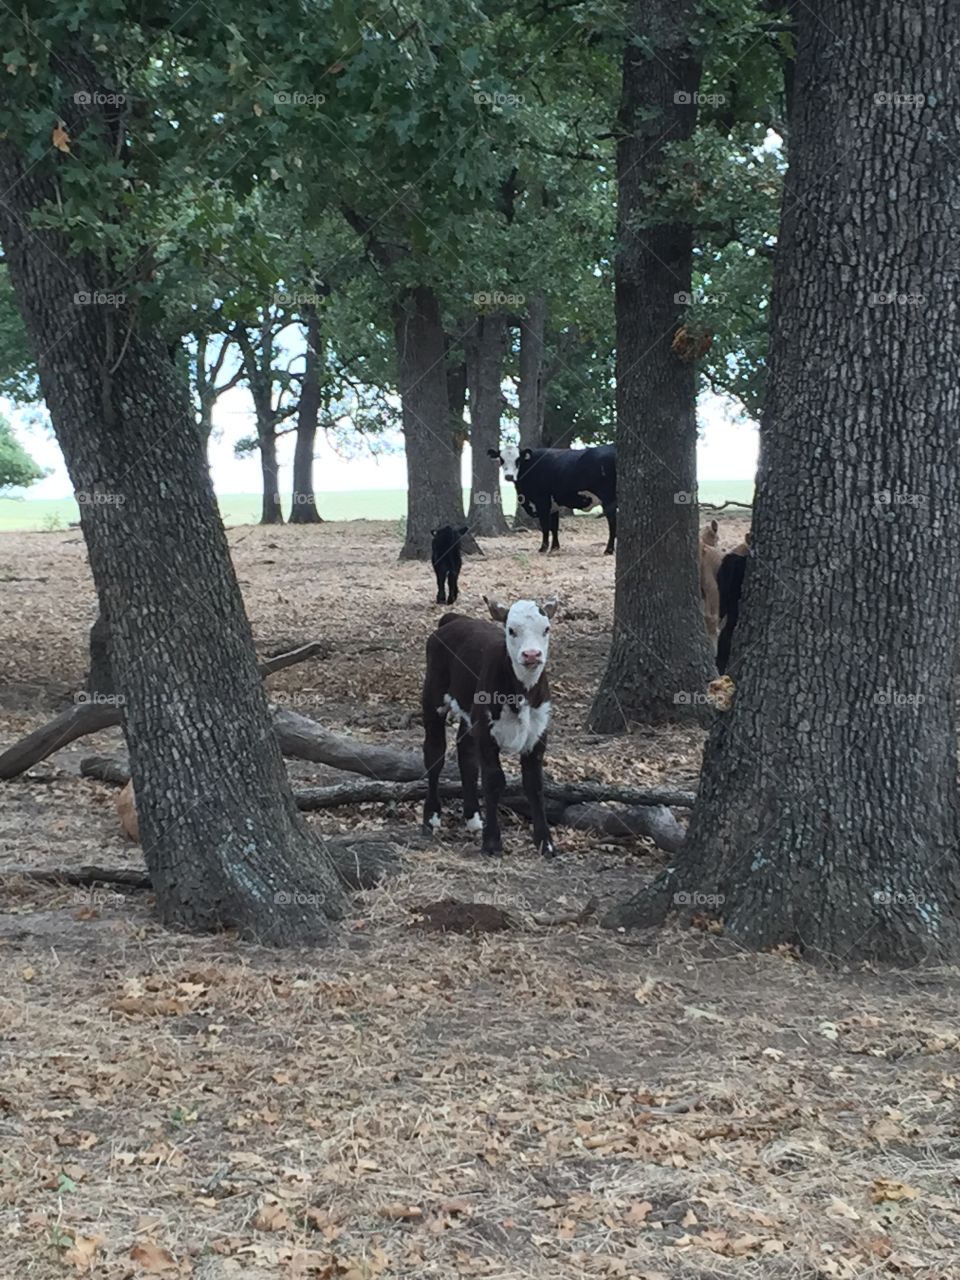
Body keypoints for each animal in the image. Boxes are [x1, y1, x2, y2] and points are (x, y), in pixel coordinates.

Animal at [421, 594, 559, 857]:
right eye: (511, 630)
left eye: (546, 629)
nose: (532, 655)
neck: (522, 694)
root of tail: (455, 619)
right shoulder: (487, 732)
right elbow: (494, 780)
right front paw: (492, 842)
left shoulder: (538, 734)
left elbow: (535, 784)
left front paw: (545, 843)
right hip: (433, 699)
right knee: (434, 754)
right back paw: (431, 817)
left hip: (468, 715)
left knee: (466, 754)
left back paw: (473, 818)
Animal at [487, 444, 617, 554]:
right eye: (501, 459)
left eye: (518, 459)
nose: (509, 476)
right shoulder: (554, 505)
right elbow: (554, 527)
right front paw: (555, 547)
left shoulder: (542, 502)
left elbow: (545, 526)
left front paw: (543, 548)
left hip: (608, 500)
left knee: (612, 524)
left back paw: (609, 550)